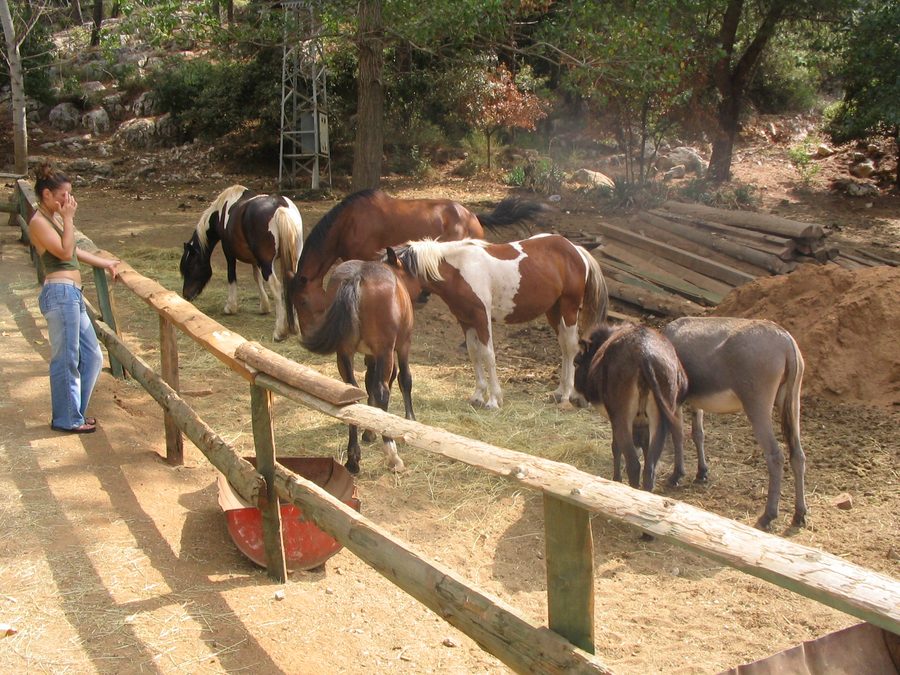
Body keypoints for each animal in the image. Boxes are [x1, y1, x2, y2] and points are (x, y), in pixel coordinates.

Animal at [179, 185, 304, 342]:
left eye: (190, 267)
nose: (186, 295)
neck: (222, 213)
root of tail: (279, 205)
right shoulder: (255, 260)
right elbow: (257, 278)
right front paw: (264, 307)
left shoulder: (229, 253)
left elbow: (231, 276)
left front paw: (230, 307)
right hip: (294, 258)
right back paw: (297, 328)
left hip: (267, 263)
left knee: (276, 287)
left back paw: (279, 332)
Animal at [300, 254, 416, 475]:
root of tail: (357, 276)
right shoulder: (402, 346)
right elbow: (403, 379)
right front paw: (410, 419)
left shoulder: (370, 356)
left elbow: (369, 385)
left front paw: (369, 431)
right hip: (385, 351)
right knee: (382, 391)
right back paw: (392, 455)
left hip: (344, 352)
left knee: (352, 391)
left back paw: (353, 458)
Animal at [389, 233, 608, 410]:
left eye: (396, 277)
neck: (459, 270)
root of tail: (576, 250)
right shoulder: (465, 320)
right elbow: (474, 353)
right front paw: (478, 396)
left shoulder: (481, 318)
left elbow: (488, 355)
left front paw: (494, 400)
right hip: (553, 311)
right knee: (564, 347)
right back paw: (559, 391)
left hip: (569, 308)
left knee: (571, 347)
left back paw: (567, 395)